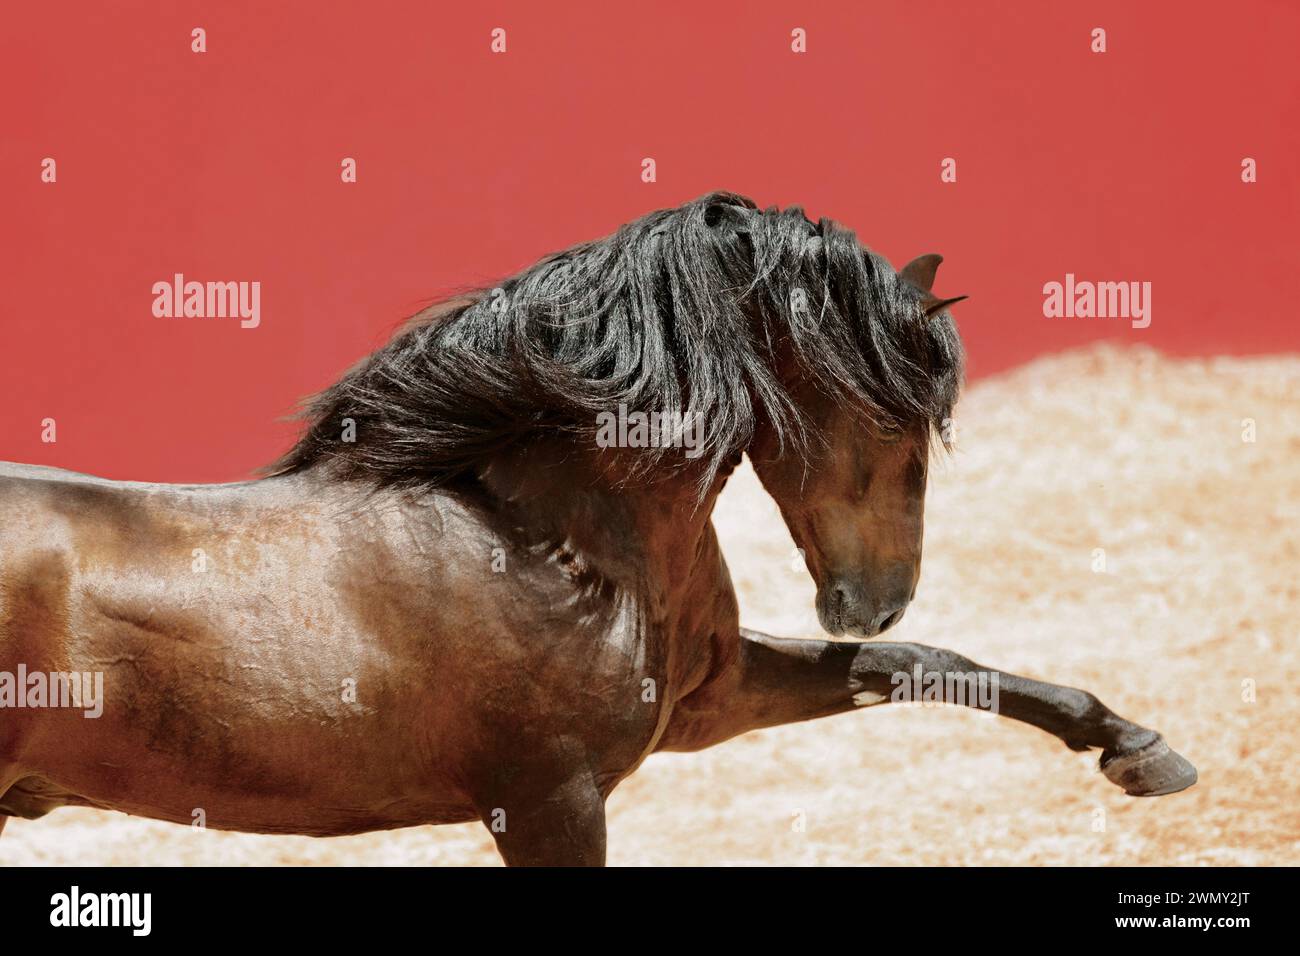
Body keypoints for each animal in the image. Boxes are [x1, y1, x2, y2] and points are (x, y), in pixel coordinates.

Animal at [0, 191, 1196, 865]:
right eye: (888, 414)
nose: (873, 597)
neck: (551, 540)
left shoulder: (707, 702)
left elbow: (925, 667)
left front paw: (1137, 748)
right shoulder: (549, 802)